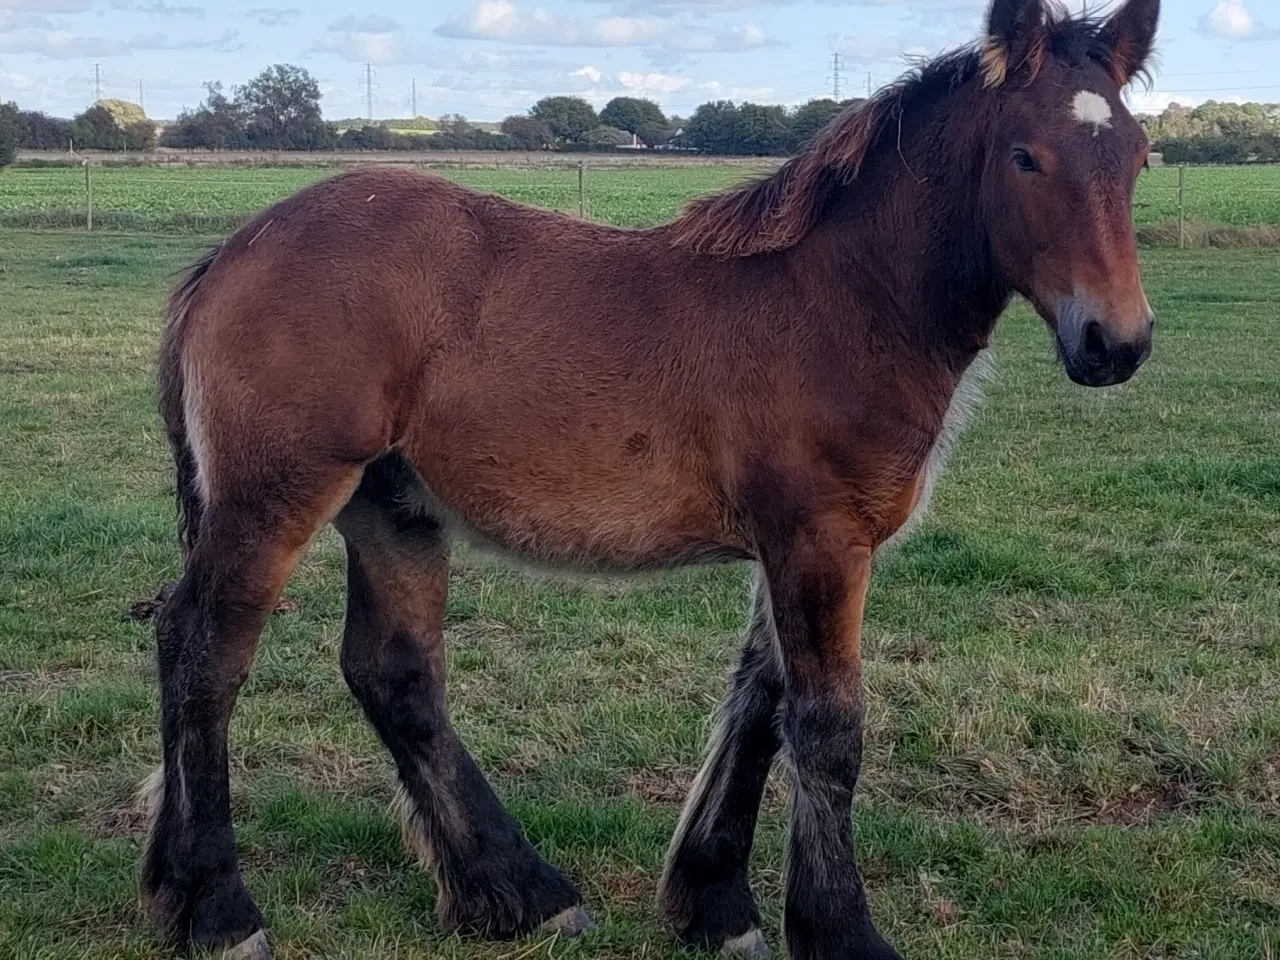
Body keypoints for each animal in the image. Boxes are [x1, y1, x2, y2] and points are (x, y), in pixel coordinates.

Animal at [140, 0, 1162, 957]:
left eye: (1140, 156)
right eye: (1025, 157)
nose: (1115, 344)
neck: (842, 305)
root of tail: (233, 250)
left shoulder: (787, 547)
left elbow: (761, 706)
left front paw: (717, 906)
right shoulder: (823, 540)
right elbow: (828, 727)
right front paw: (841, 931)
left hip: (391, 505)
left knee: (392, 672)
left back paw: (515, 895)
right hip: (276, 497)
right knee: (204, 651)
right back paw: (221, 909)